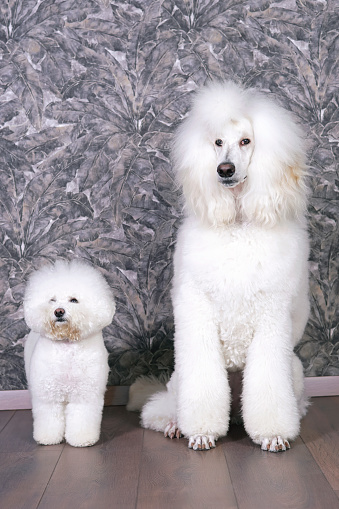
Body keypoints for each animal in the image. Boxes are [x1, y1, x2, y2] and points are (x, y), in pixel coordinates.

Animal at [23, 260, 116, 446]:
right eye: (52, 300)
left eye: (74, 300)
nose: (58, 311)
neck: (67, 345)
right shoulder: (48, 394)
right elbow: (49, 417)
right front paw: (47, 437)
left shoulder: (85, 393)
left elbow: (82, 416)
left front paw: (82, 438)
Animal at [132, 80, 310, 452]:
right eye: (217, 143)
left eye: (246, 141)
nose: (224, 170)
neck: (238, 224)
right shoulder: (197, 313)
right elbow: (202, 383)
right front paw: (201, 432)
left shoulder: (272, 317)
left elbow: (270, 386)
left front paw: (272, 434)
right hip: (178, 378)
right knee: (159, 408)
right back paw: (173, 424)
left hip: (295, 369)